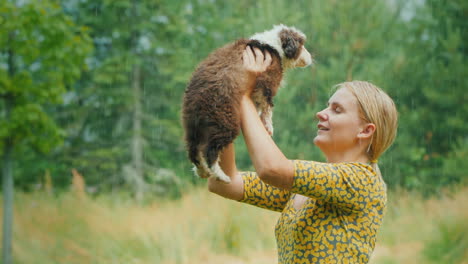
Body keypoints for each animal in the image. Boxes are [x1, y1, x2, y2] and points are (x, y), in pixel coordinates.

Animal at [181, 24, 312, 184]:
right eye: (302, 45)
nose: (311, 58)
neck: (273, 45)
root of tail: (198, 99)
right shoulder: (268, 81)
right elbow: (268, 107)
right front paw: (268, 126)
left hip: (192, 125)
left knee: (193, 151)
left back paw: (202, 171)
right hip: (224, 121)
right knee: (209, 151)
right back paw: (221, 176)